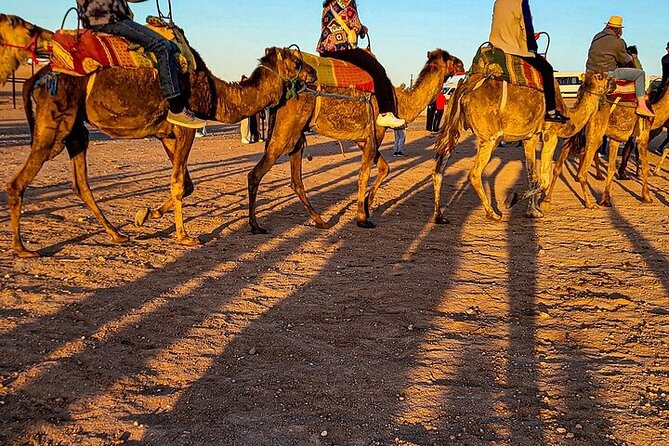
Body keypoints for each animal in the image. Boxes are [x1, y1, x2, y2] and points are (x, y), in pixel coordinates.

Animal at [3, 16, 315, 257]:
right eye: (296, 60)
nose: (313, 72)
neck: (215, 93)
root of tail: (40, 75)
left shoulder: (166, 133)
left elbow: (186, 184)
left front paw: (145, 215)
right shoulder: (186, 126)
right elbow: (178, 184)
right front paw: (184, 235)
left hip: (76, 130)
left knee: (81, 182)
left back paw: (117, 234)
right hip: (55, 124)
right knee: (19, 180)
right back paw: (22, 248)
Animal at [246, 49, 464, 233]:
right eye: (449, 58)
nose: (462, 63)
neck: (399, 101)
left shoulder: (363, 139)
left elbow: (384, 168)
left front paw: (367, 205)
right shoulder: (375, 133)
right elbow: (364, 176)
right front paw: (362, 218)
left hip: (296, 135)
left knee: (296, 181)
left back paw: (320, 221)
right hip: (285, 133)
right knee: (255, 174)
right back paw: (255, 225)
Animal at [431, 71, 614, 223]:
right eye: (600, 76)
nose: (613, 81)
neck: (568, 116)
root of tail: (465, 87)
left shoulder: (530, 138)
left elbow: (532, 176)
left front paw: (533, 212)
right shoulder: (550, 134)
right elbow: (544, 179)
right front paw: (511, 200)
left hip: (455, 124)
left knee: (438, 168)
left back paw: (439, 216)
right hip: (490, 137)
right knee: (474, 173)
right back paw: (492, 214)